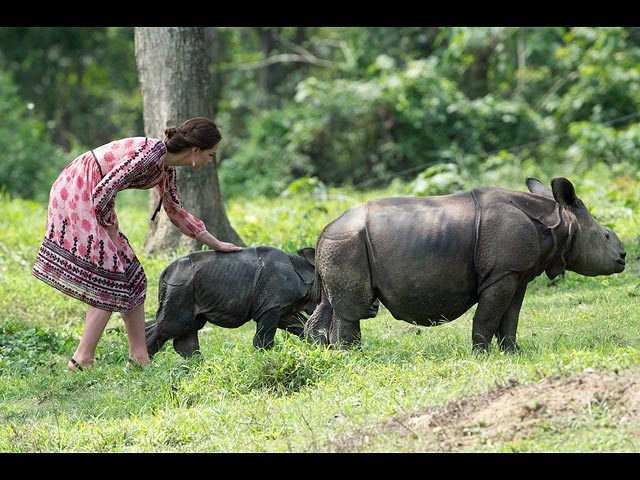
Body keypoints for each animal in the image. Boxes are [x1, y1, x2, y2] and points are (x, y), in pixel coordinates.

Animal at [145, 248, 316, 356]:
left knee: (190, 325)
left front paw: (318, 346)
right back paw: (142, 367)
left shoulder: (278, 308)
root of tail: (166, 272)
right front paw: (263, 359)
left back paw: (199, 366)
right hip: (180, 285)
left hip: (188, 287)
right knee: (174, 325)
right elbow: (263, 340)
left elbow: (302, 326)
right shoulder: (271, 306)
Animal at [304, 178, 624, 350]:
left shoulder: (516, 272)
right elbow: (488, 316)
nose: (622, 258)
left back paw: (326, 353)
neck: (557, 220)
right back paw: (354, 356)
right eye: (606, 235)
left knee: (331, 302)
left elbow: (511, 317)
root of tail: (323, 230)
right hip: (347, 243)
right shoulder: (501, 273)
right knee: (351, 308)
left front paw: (514, 353)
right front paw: (482, 354)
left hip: (336, 247)